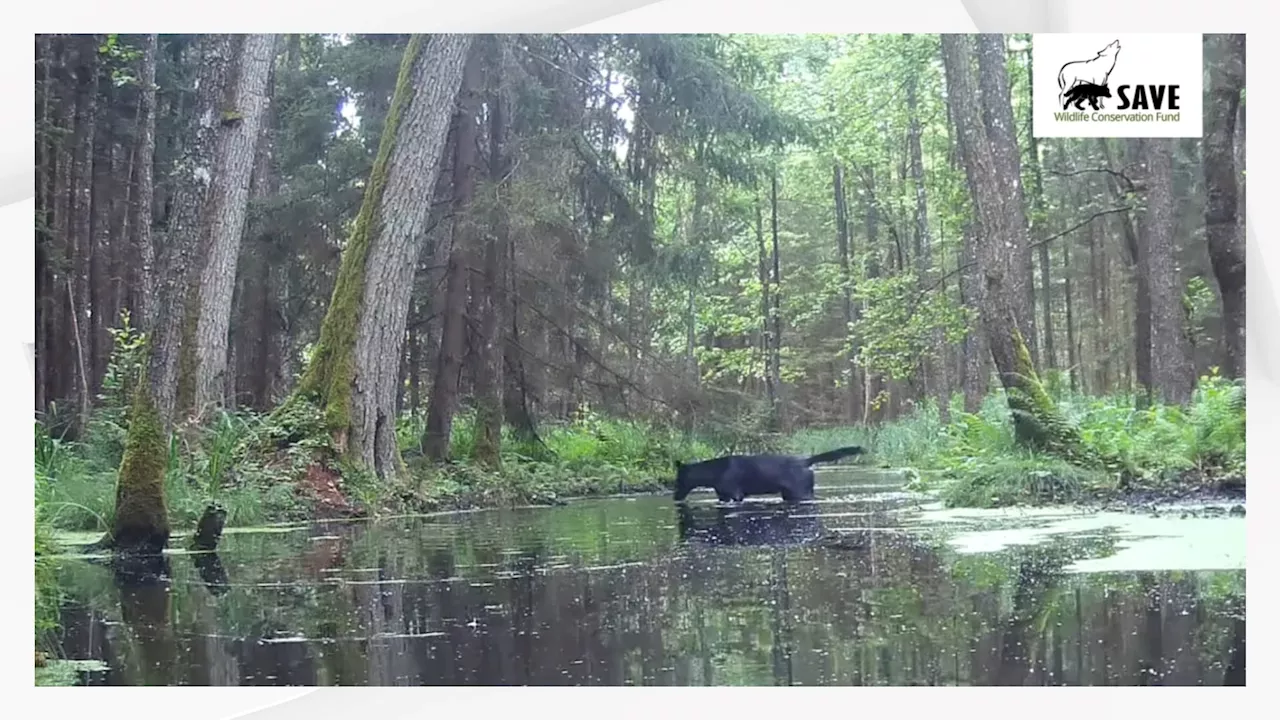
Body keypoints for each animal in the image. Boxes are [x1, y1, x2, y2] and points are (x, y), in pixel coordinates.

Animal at [670, 445, 870, 502]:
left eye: (677, 480)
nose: (674, 496)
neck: (713, 473)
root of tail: (806, 461)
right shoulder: (723, 496)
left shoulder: (736, 495)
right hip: (789, 494)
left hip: (801, 493)